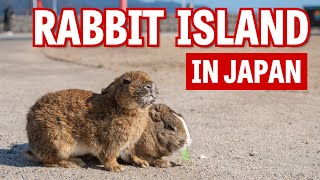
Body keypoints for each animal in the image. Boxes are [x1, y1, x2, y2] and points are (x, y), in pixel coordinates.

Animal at [24, 70, 159, 172]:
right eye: (126, 81)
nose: (150, 85)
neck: (119, 104)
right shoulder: (110, 142)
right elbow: (108, 156)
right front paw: (116, 167)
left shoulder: (128, 143)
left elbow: (130, 154)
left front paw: (141, 162)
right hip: (57, 141)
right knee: (48, 160)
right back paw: (73, 163)